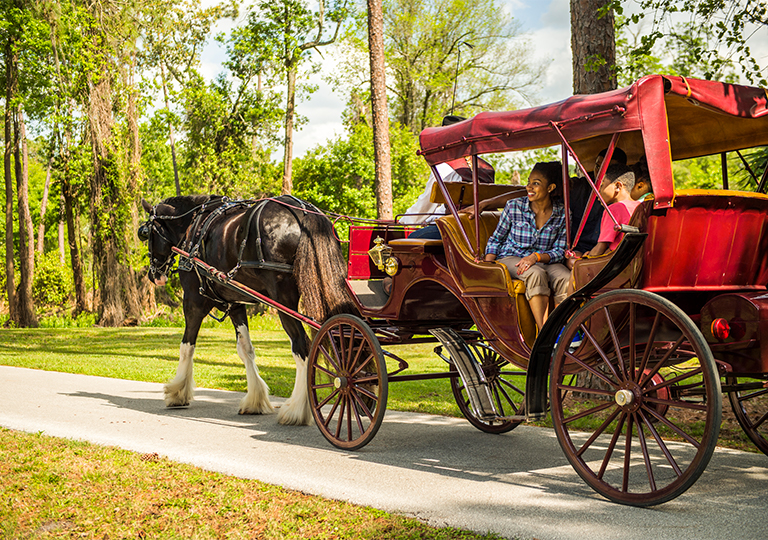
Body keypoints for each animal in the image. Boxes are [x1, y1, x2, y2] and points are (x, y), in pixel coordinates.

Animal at [140, 194, 356, 426]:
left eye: (146, 233)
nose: (155, 275)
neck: (194, 227)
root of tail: (303, 211)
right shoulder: (235, 304)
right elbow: (246, 350)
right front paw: (255, 400)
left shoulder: (193, 301)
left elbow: (186, 347)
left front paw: (177, 392)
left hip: (284, 301)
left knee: (303, 347)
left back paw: (296, 410)